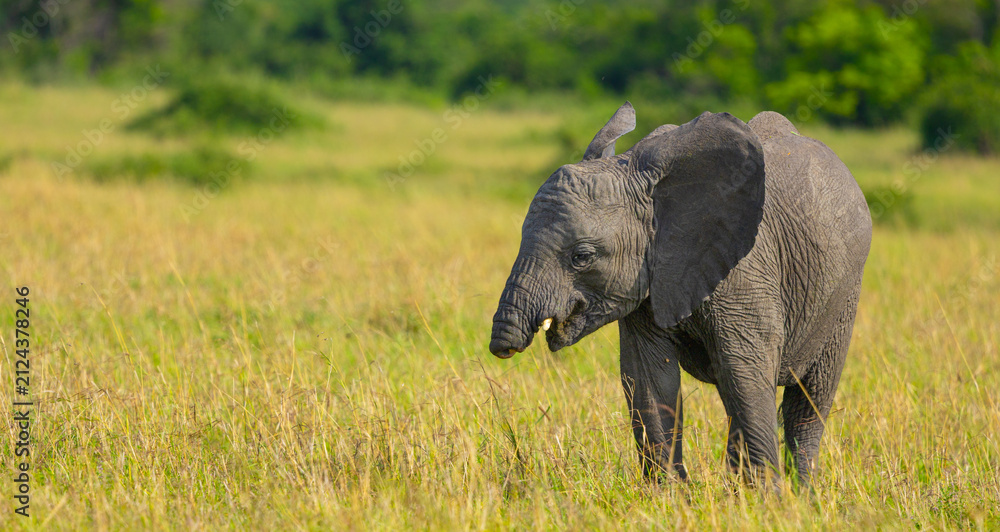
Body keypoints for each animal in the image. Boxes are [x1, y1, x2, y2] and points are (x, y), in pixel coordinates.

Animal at [488, 102, 871, 488]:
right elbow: (649, 381)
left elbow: (745, 372)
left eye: (582, 257)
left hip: (844, 295)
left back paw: (803, 493)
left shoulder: (745, 271)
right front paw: (669, 496)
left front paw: (768, 499)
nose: (502, 348)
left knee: (806, 401)